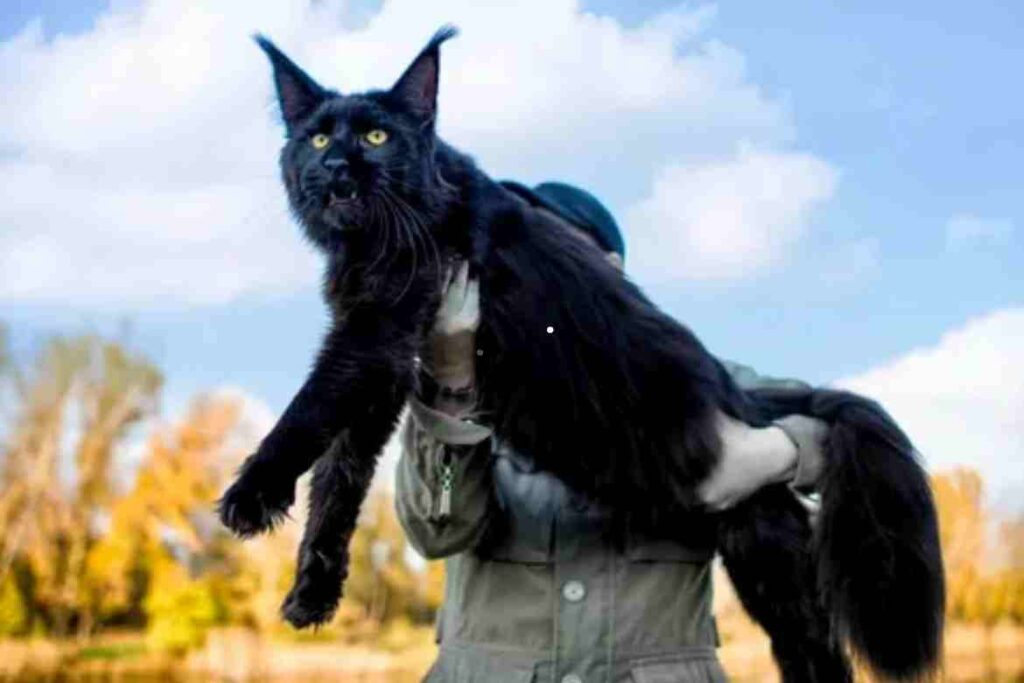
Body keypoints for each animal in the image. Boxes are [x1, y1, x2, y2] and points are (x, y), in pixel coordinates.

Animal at [220, 28, 946, 683]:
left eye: (376, 137)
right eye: (318, 138)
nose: (336, 166)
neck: (377, 236)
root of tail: (741, 395)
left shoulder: (375, 334)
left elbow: (307, 413)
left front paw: (251, 493)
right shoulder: (393, 363)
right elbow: (339, 479)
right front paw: (314, 589)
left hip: (766, 555)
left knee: (823, 654)